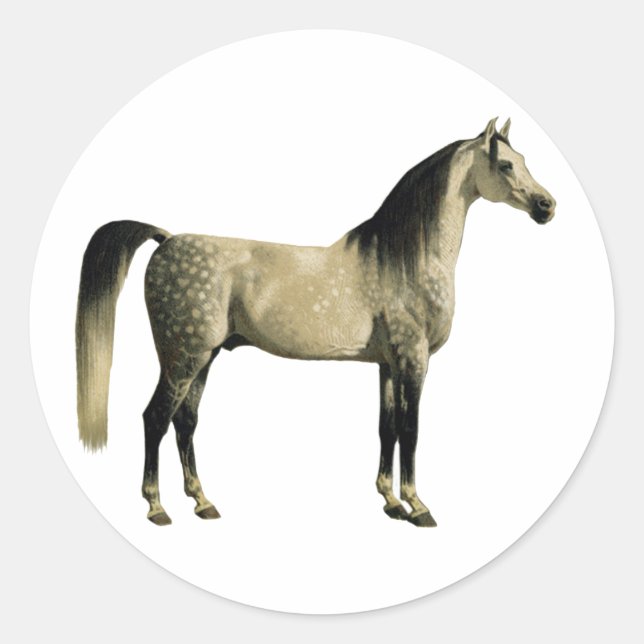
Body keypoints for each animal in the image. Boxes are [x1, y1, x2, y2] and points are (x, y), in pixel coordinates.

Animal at [76, 117, 555, 527]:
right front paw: (417, 506)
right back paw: (157, 508)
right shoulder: (414, 360)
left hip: (204, 356)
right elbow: (411, 429)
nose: (546, 206)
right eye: (506, 164)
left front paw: (390, 501)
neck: (401, 258)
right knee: (155, 418)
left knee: (185, 422)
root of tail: (167, 239)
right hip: (183, 356)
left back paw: (203, 502)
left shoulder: (386, 364)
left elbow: (386, 429)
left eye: (524, 160)